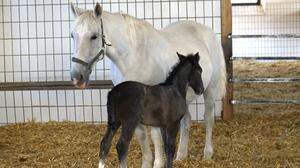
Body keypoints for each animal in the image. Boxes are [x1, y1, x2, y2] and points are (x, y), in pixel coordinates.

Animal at [69, 2, 225, 168]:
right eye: (72, 35)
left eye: (94, 36)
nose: (76, 77)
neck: (133, 56)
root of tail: (208, 32)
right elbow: (142, 135)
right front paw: (147, 162)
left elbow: (155, 135)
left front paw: (158, 163)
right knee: (186, 120)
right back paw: (181, 155)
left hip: (210, 90)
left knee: (208, 118)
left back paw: (207, 153)